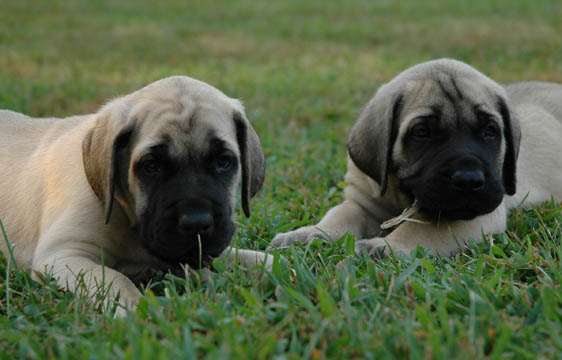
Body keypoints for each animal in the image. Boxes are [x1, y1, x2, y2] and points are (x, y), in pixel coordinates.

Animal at [0, 76, 272, 316]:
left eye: (223, 161)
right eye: (152, 165)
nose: (196, 222)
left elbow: (245, 256)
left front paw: (271, 263)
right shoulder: (64, 254)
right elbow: (116, 278)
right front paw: (140, 312)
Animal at [270, 58, 560, 256]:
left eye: (490, 131)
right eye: (422, 133)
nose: (469, 180)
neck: (401, 196)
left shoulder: (475, 213)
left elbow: (421, 228)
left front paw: (386, 246)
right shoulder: (362, 201)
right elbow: (340, 214)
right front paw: (309, 234)